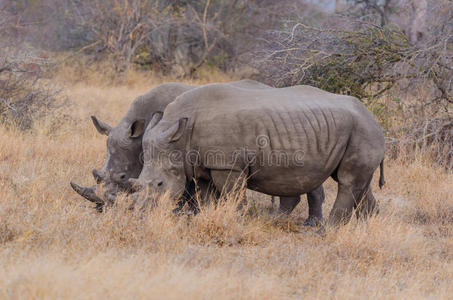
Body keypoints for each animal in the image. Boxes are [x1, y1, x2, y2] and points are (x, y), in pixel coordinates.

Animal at [129, 83, 384, 226]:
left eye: (160, 184)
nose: (140, 214)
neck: (179, 136)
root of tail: (372, 116)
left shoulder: (227, 165)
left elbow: (233, 195)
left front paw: (237, 220)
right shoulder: (203, 165)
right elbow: (206, 195)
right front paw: (205, 218)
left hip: (362, 130)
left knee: (347, 181)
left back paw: (327, 230)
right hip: (355, 130)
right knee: (358, 183)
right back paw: (368, 227)